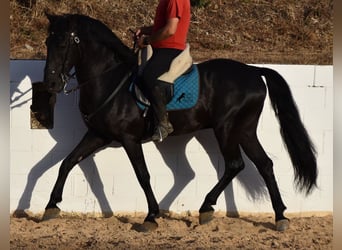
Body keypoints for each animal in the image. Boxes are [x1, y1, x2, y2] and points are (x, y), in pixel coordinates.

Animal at [42, 13, 318, 232]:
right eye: (47, 42)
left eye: (63, 42)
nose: (51, 84)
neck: (110, 80)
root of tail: (254, 70)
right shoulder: (97, 135)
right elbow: (67, 163)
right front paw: (51, 205)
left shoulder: (129, 139)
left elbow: (142, 175)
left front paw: (151, 216)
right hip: (245, 130)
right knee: (264, 165)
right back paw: (280, 216)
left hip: (227, 129)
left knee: (234, 164)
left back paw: (207, 207)